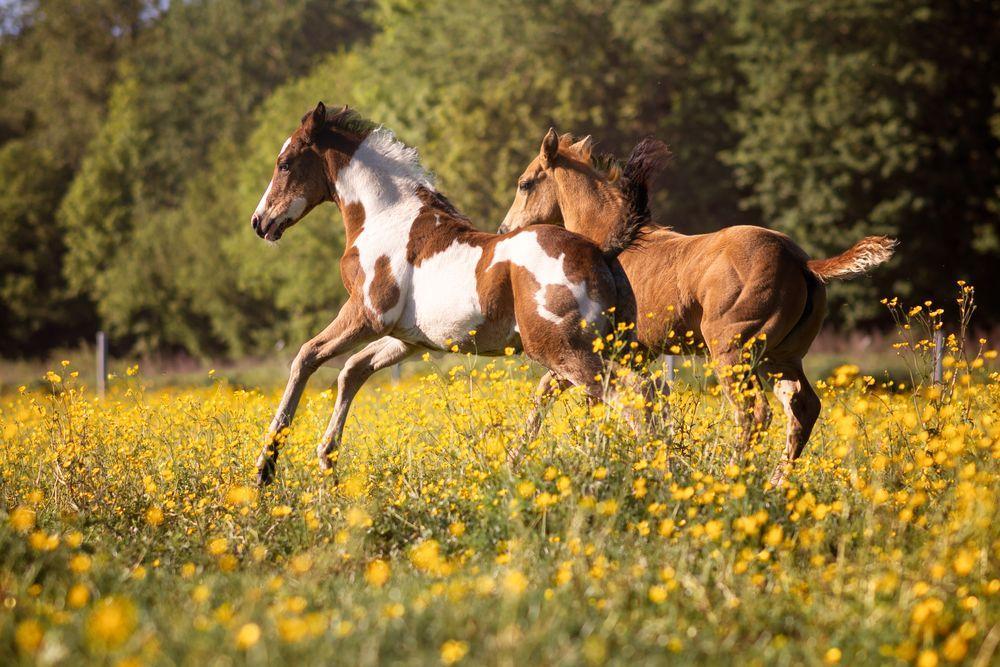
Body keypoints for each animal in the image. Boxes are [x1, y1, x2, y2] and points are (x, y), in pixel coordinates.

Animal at [252, 104, 656, 486]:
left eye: (284, 164)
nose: (260, 222)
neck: (387, 218)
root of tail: (598, 252)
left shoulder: (367, 315)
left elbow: (306, 357)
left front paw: (266, 467)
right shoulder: (407, 340)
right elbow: (353, 370)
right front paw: (327, 458)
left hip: (565, 350)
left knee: (630, 393)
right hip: (609, 348)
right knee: (644, 391)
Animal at [500, 130, 900, 486]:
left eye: (525, 183)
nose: (505, 229)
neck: (608, 239)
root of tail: (801, 261)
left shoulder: (588, 348)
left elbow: (557, 394)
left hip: (732, 352)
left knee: (754, 413)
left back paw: (731, 479)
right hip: (781, 358)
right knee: (803, 409)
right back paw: (775, 483)